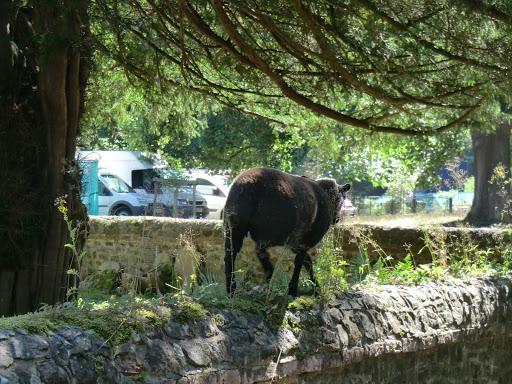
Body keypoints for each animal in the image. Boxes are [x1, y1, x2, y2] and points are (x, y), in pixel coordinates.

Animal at [225, 166, 352, 296]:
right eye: (341, 199)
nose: (337, 219)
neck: (327, 197)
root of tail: (247, 185)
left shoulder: (296, 243)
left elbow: (307, 261)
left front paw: (315, 286)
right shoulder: (305, 239)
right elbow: (300, 261)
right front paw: (294, 289)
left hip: (234, 224)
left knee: (231, 253)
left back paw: (231, 287)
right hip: (270, 227)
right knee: (260, 252)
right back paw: (270, 277)